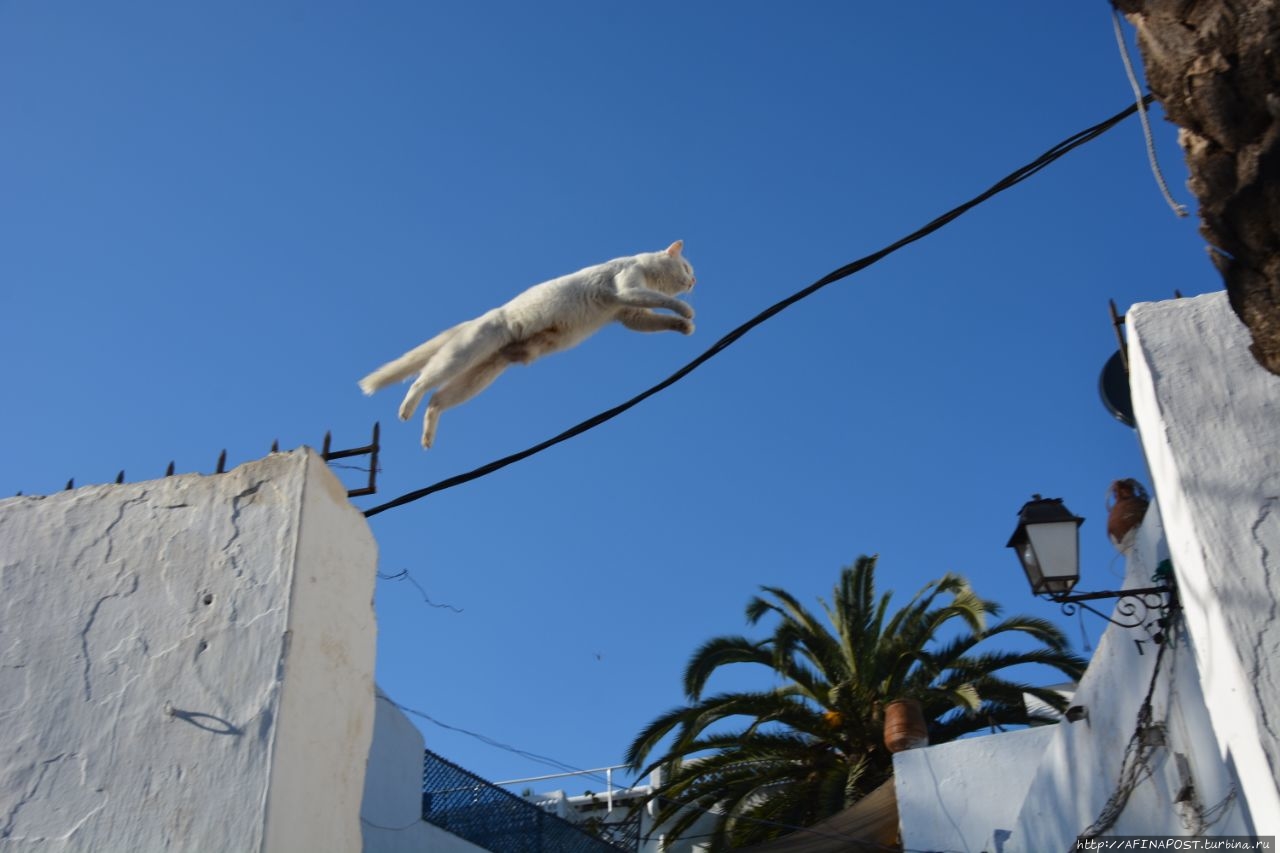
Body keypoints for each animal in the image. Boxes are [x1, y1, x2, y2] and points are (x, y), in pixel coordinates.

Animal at [360, 239, 696, 448]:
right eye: (687, 269)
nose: (694, 282)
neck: (641, 264)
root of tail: (480, 318)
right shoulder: (628, 289)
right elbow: (662, 299)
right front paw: (686, 311)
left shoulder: (630, 314)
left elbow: (655, 319)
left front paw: (683, 326)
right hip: (464, 354)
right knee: (422, 381)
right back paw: (406, 409)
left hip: (482, 373)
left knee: (438, 399)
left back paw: (428, 437)